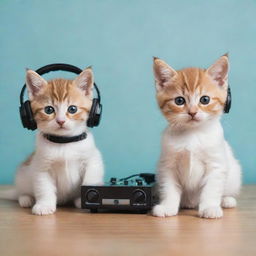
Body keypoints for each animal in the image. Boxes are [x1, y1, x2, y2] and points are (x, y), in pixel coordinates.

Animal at [0, 67, 104, 214]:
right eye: (49, 110)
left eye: (72, 109)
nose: (60, 121)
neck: (64, 142)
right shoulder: (41, 166)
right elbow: (44, 188)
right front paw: (44, 205)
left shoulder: (93, 159)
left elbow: (91, 179)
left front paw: (84, 200)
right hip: (22, 176)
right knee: (21, 192)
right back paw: (26, 199)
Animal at [152, 55, 242, 219]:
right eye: (179, 101)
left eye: (205, 100)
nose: (192, 112)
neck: (192, 134)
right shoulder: (167, 165)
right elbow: (169, 188)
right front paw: (168, 207)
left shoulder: (216, 165)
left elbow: (211, 189)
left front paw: (210, 207)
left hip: (234, 174)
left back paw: (226, 200)